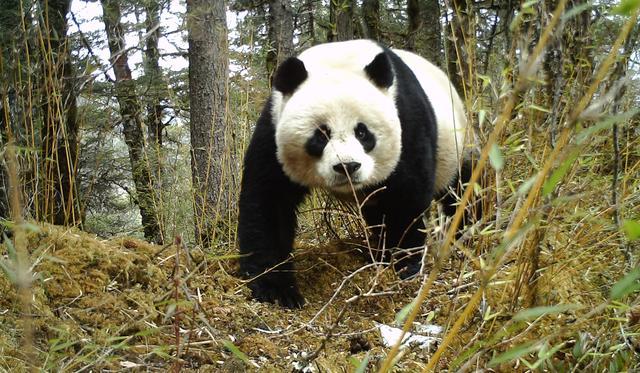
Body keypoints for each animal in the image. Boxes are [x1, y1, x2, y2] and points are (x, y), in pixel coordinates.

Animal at [238, 40, 472, 308]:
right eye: (321, 134)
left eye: (362, 132)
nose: (347, 167)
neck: (339, 59)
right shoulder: (273, 130)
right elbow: (269, 200)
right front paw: (275, 288)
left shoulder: (407, 122)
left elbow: (406, 198)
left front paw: (403, 265)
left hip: (457, 144)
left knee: (462, 190)